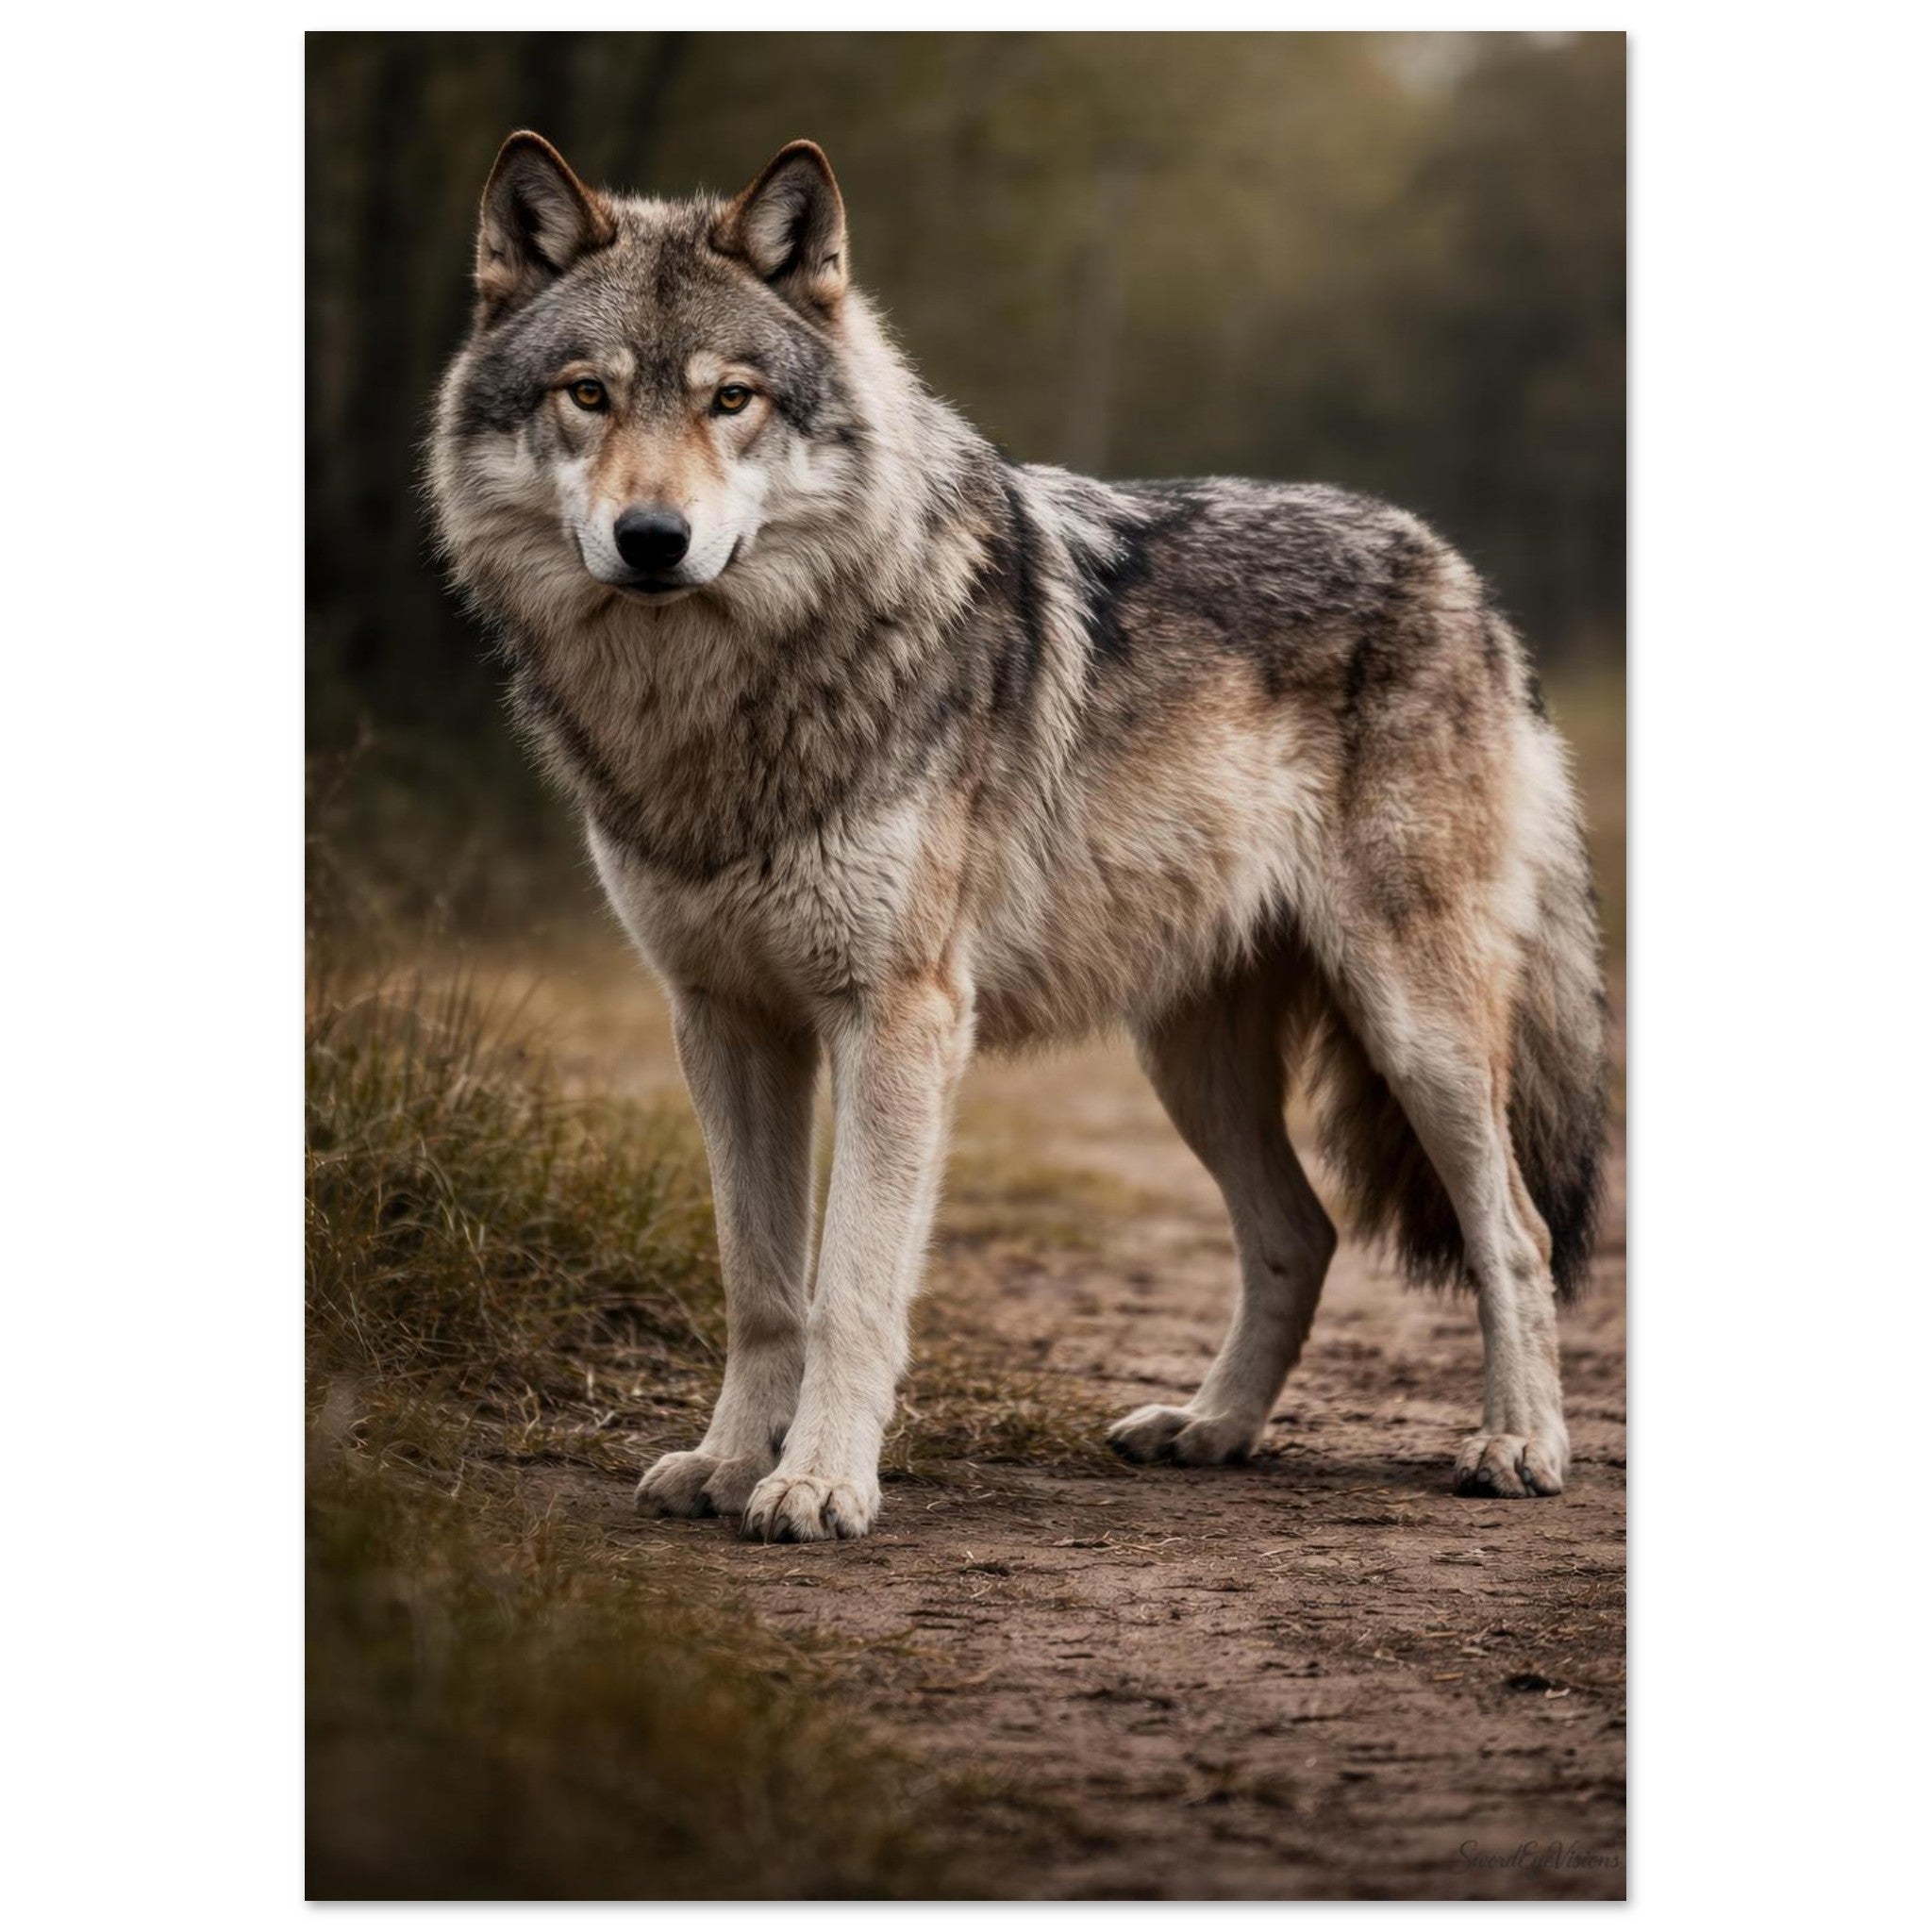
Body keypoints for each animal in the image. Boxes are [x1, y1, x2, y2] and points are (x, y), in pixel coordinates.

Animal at [429, 134, 1608, 1543]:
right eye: (589, 395)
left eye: (732, 400)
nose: (652, 540)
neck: (721, 703)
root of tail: (1461, 576)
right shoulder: (722, 1020)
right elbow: (759, 1285)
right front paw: (723, 1463)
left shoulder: (899, 1018)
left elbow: (850, 1288)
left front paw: (818, 1483)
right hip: (1190, 1060)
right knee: (1301, 1234)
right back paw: (1209, 1428)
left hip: (1413, 1028)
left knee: (1515, 1234)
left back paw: (1518, 1444)